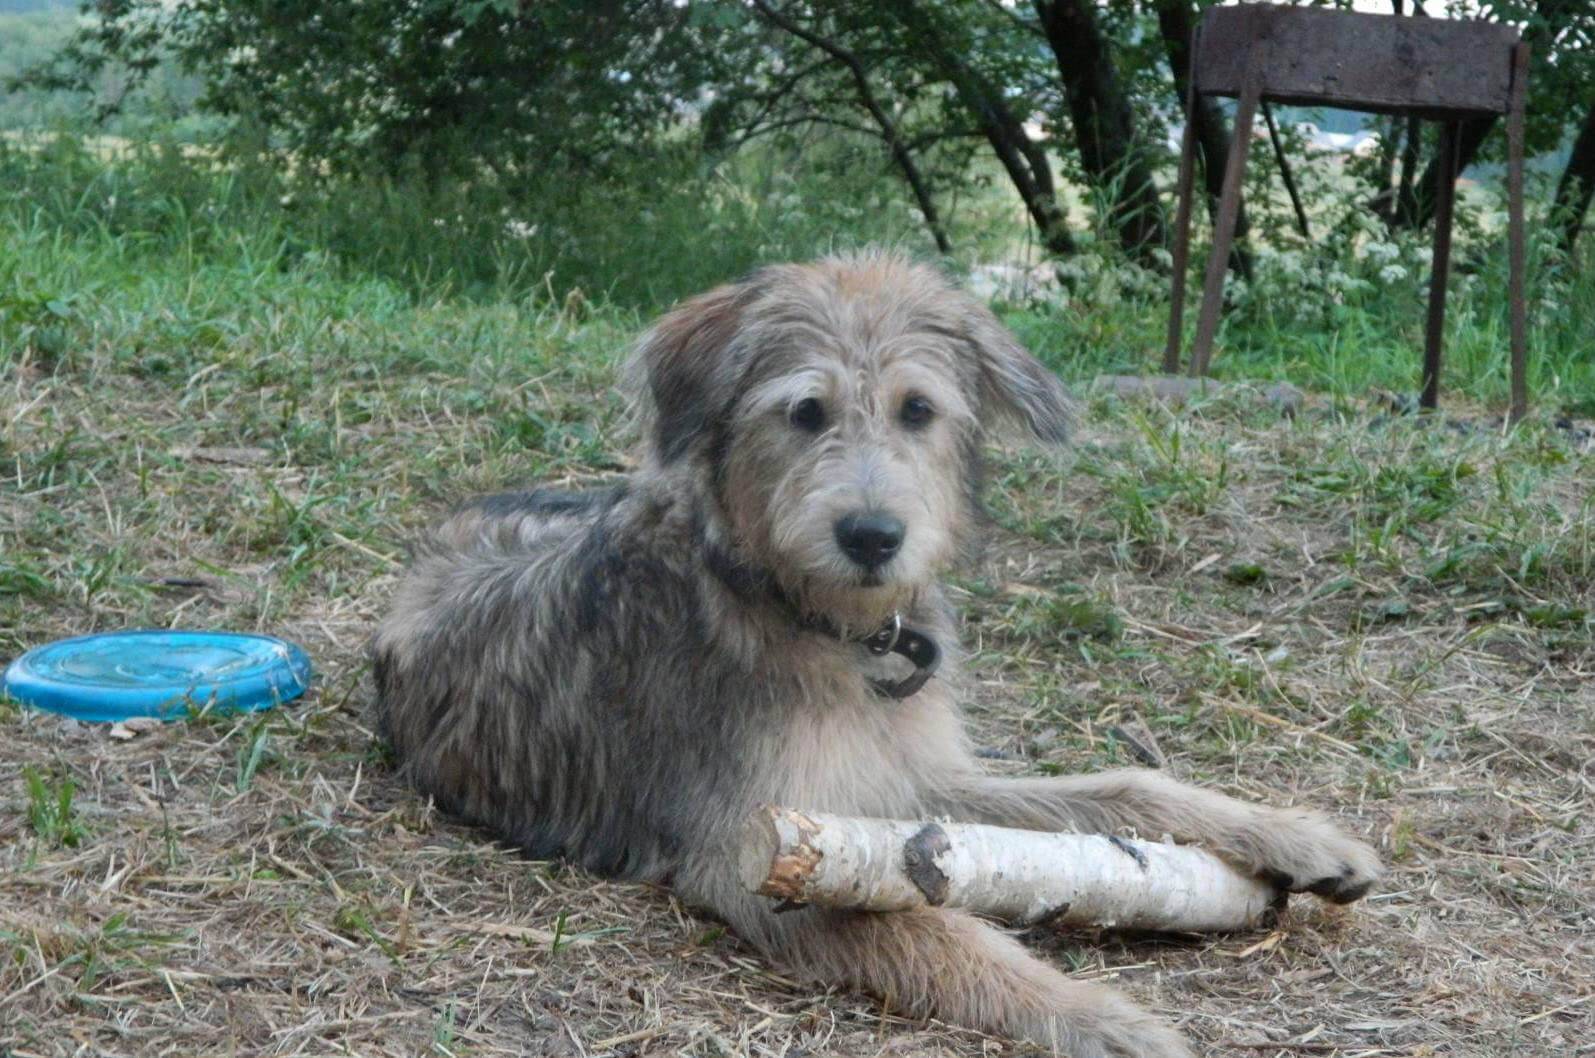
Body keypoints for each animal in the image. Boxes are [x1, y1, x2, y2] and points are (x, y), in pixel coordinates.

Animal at [366, 252, 1378, 1053]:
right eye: (805, 411)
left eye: (916, 409)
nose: (870, 535)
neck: (821, 625)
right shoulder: (754, 856)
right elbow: (949, 937)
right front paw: (1101, 1016)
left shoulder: (915, 788)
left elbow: (1122, 788)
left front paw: (1299, 837)